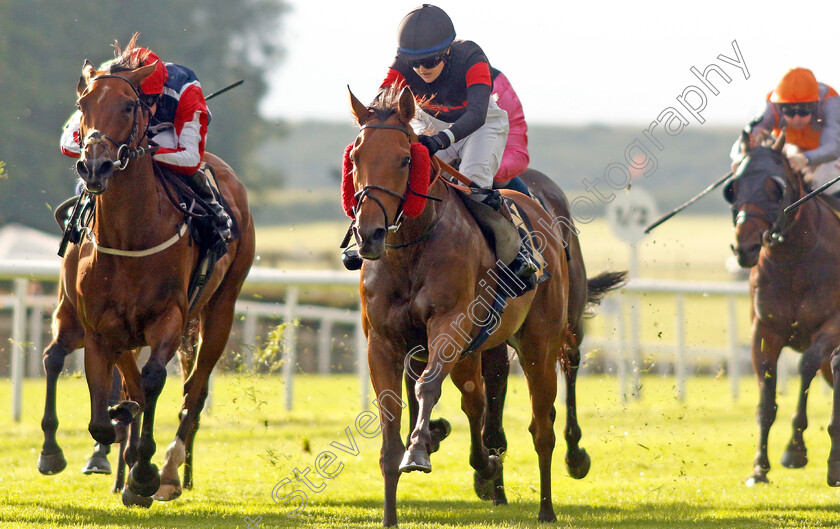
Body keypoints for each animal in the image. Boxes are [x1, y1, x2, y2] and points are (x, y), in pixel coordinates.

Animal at [37, 44, 253, 504]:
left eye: (129, 105)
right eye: (83, 105)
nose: (95, 166)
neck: (130, 237)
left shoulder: (168, 317)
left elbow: (151, 381)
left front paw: (144, 472)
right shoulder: (102, 327)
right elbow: (108, 407)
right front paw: (121, 446)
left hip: (220, 310)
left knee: (194, 390)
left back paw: (170, 471)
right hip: (77, 312)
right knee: (59, 358)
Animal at [720, 132, 840, 486]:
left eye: (775, 187)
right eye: (733, 187)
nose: (744, 246)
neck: (795, 260)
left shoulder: (832, 326)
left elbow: (806, 365)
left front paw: (794, 450)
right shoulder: (765, 331)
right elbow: (766, 398)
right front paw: (759, 467)